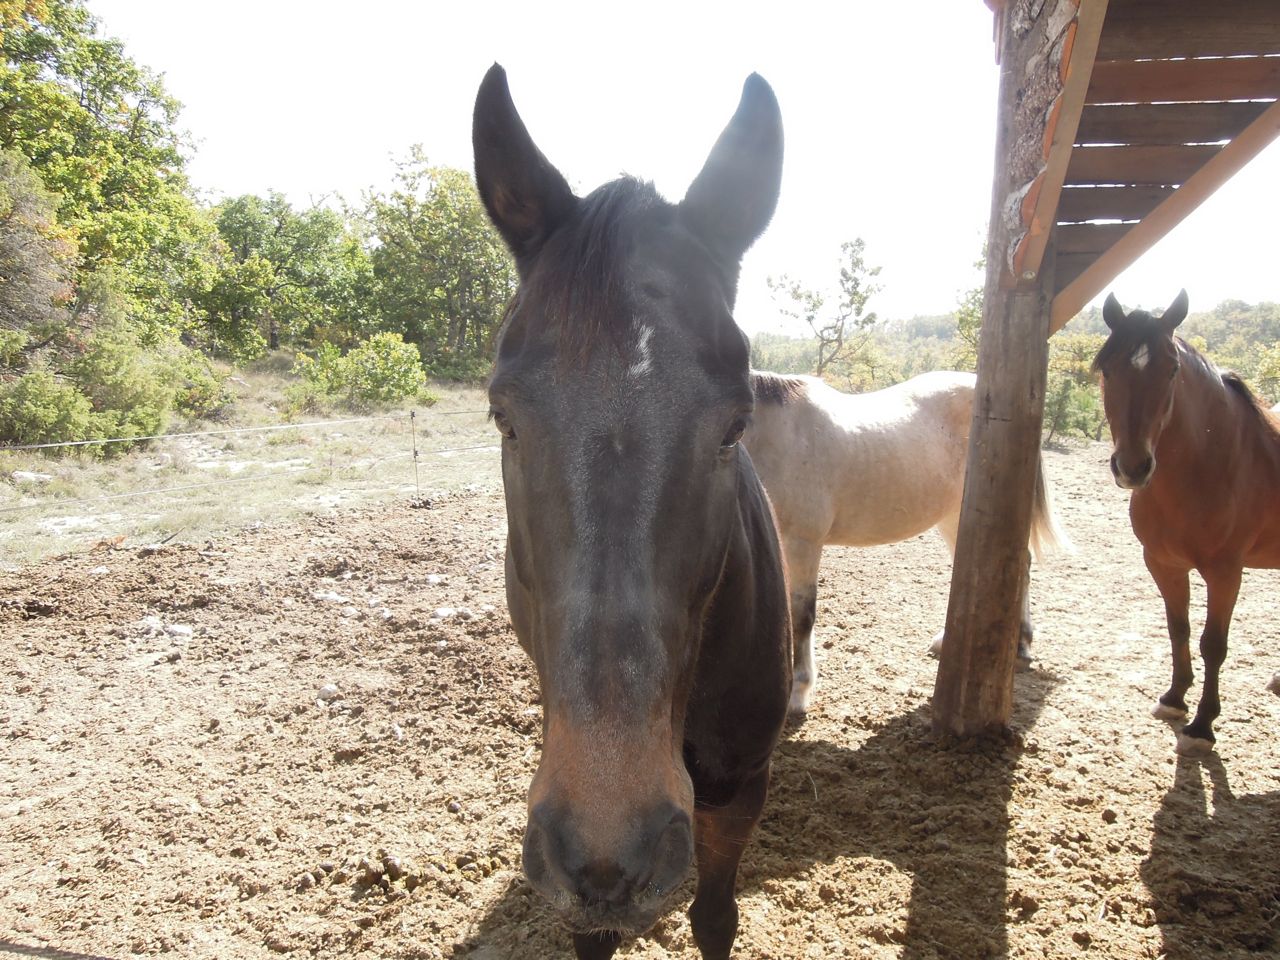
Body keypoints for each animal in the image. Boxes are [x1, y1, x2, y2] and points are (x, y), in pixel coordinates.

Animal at [745, 369, 1067, 714]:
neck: (773, 435)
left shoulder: (803, 544)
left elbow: (802, 614)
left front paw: (797, 692)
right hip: (956, 516)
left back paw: (1020, 647)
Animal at [1093, 289, 1280, 755]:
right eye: (1107, 367)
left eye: (1172, 368)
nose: (1133, 467)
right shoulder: (1164, 564)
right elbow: (1178, 628)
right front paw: (1175, 698)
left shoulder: (1226, 572)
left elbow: (1213, 644)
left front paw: (1202, 724)